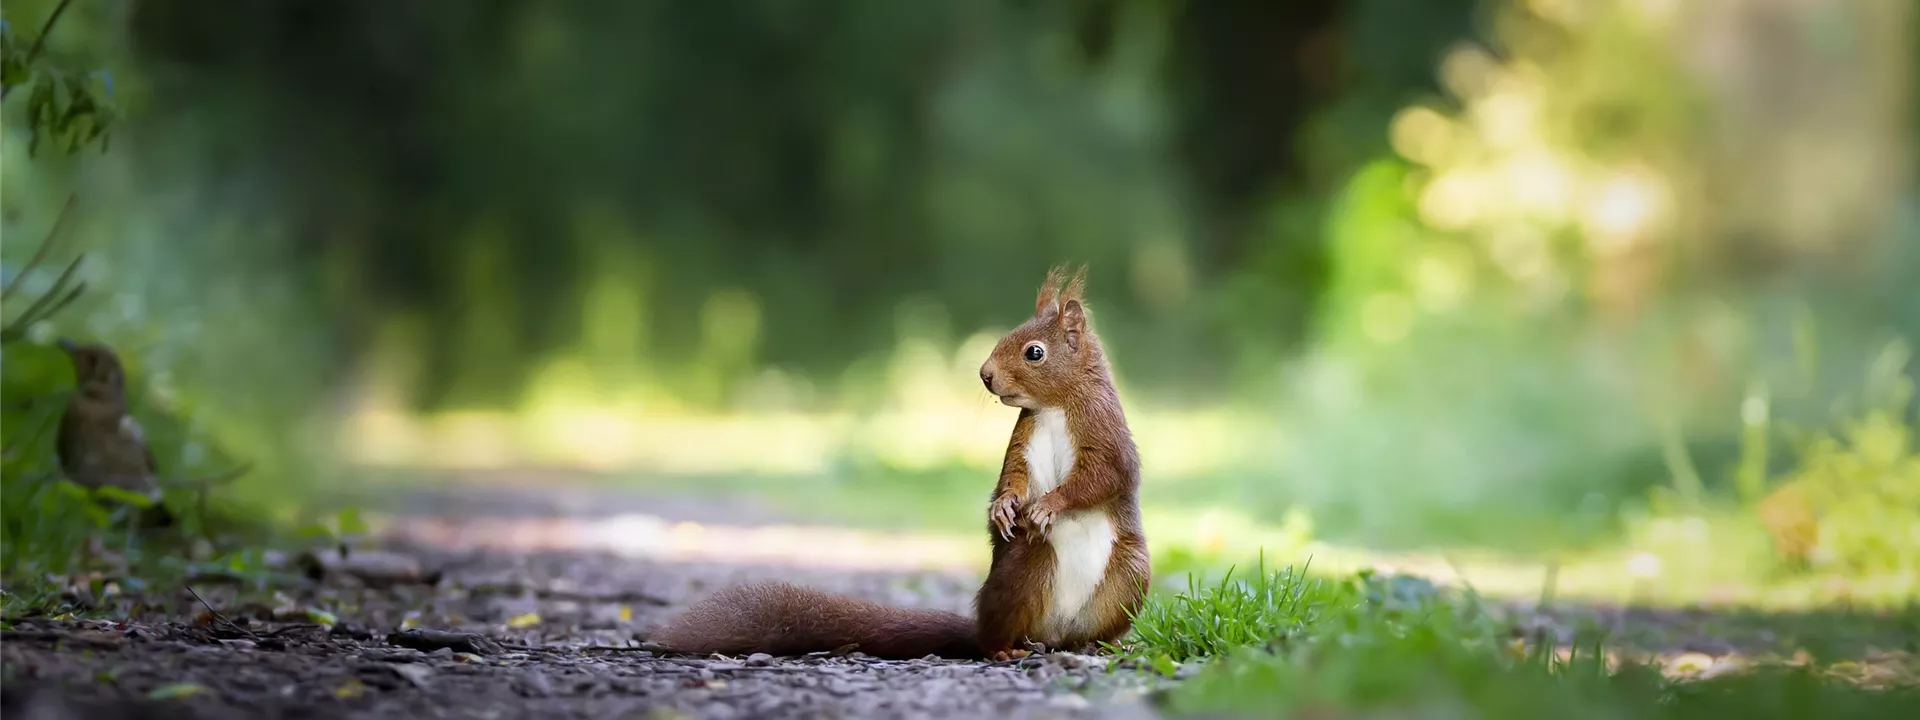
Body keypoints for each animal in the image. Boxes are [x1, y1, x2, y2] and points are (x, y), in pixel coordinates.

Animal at [651, 265, 1149, 661]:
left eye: (1035, 352)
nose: (985, 374)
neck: (1054, 407)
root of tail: (1053, 634)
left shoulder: (1104, 432)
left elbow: (1103, 477)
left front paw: (1048, 505)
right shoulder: (1023, 440)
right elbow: (1014, 476)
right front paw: (1004, 507)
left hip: (1130, 574)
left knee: (1089, 627)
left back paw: (1100, 644)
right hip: (1027, 567)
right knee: (998, 632)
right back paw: (1005, 648)